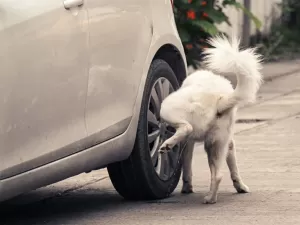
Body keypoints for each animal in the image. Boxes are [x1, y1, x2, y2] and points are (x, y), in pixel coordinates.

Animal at [159, 34, 262, 204]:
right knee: (218, 175)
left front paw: (186, 186)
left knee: (186, 128)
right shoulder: (228, 144)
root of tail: (220, 99)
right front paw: (240, 186)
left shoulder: (188, 143)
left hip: (167, 108)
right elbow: (233, 167)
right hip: (216, 144)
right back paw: (210, 198)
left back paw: (167, 145)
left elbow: (186, 165)